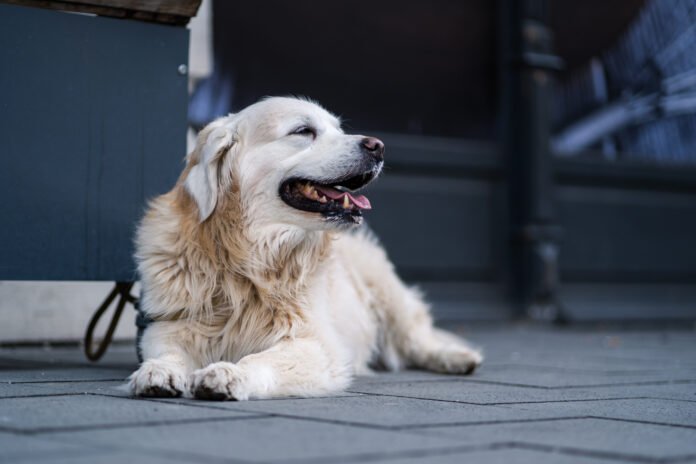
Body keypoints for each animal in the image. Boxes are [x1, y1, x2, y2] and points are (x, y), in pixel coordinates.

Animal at [128, 97, 482, 398]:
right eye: (303, 131)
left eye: (338, 129)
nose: (378, 146)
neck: (248, 262)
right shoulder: (168, 327)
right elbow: (168, 353)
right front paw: (158, 371)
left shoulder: (314, 344)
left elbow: (259, 360)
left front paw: (229, 374)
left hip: (388, 293)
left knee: (419, 339)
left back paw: (458, 357)